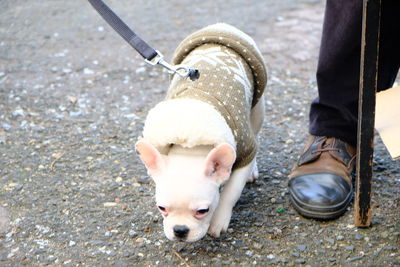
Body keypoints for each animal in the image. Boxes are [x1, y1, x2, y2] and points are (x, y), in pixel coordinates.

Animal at [136, 23, 268, 243]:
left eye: (203, 211)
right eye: (161, 208)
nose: (180, 230)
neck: (190, 143)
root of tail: (222, 26)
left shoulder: (243, 152)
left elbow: (230, 193)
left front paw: (219, 220)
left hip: (257, 106)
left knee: (256, 134)